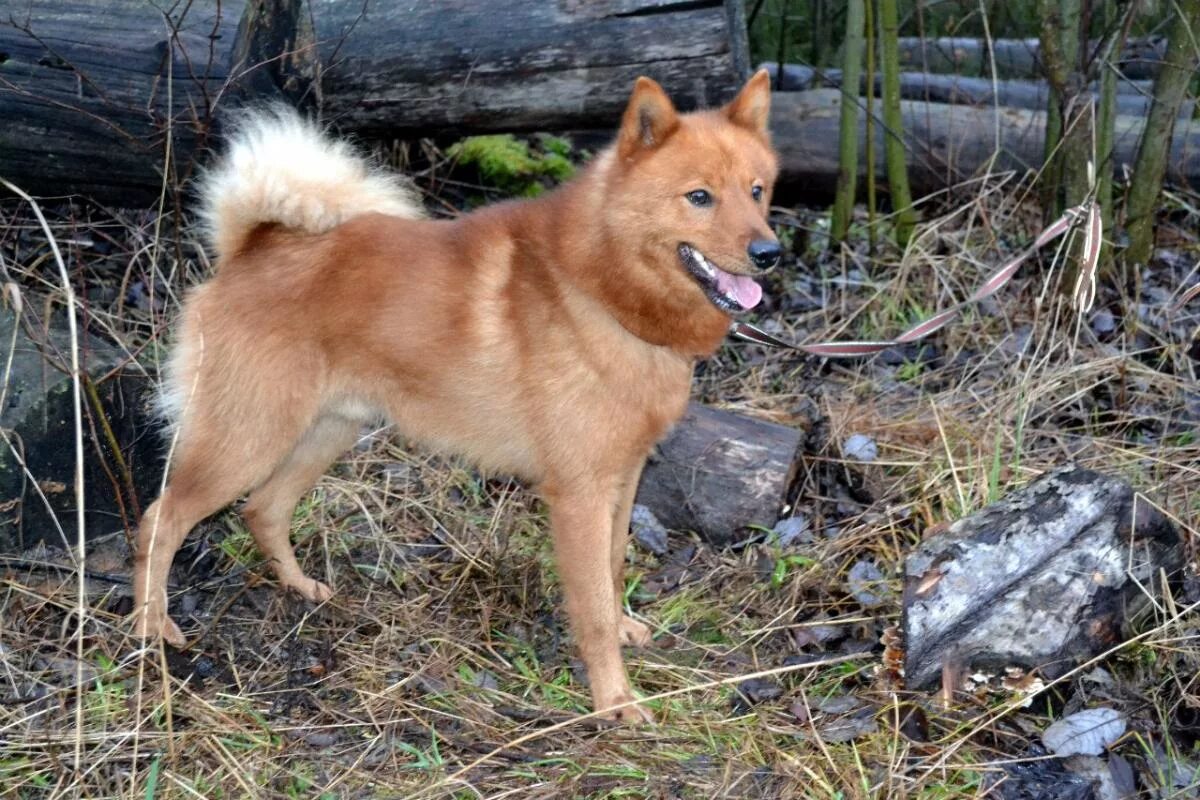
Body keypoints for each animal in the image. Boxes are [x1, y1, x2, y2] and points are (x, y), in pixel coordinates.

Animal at [136, 67, 782, 719]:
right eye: (698, 197)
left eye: (756, 191)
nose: (770, 253)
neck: (600, 291)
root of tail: (254, 246)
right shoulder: (579, 495)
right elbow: (592, 607)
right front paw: (613, 700)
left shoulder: (622, 479)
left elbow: (613, 565)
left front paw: (623, 632)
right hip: (245, 441)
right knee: (160, 518)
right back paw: (150, 626)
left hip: (325, 431)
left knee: (263, 510)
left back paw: (299, 588)